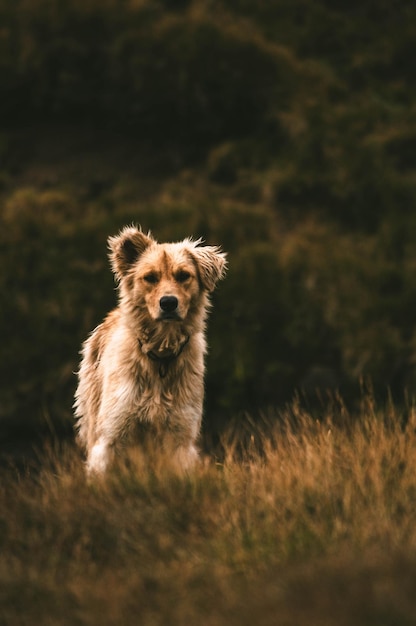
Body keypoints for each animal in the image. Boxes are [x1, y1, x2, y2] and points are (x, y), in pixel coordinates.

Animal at [73, 224, 226, 472]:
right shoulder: (111, 435)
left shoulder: (180, 436)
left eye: (183, 276)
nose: (168, 303)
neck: (161, 352)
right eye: (150, 278)